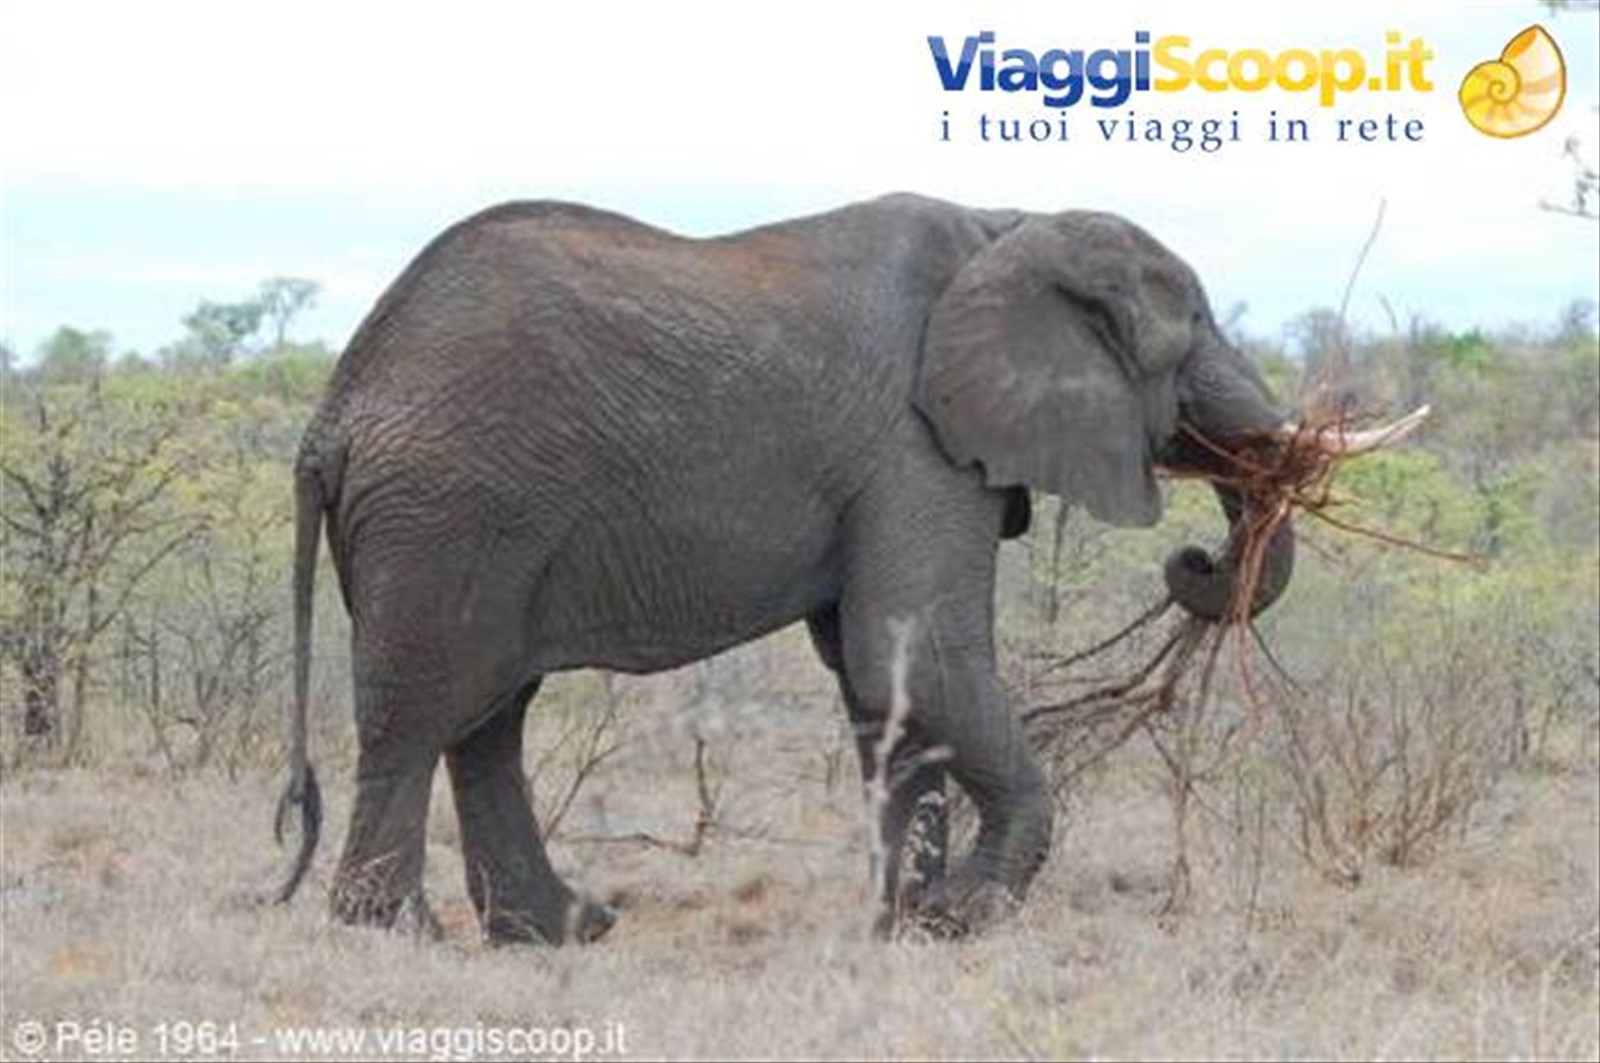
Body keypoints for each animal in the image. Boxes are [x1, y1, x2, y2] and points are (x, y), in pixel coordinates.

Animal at [271, 192, 1373, 945]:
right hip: (448, 511)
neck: (1007, 223)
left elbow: (876, 675)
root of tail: (334, 413)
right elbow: (916, 652)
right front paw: (966, 915)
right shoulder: (915, 442)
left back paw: (563, 931)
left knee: (489, 715)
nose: (1195, 559)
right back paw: (395, 932)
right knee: (426, 707)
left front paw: (906, 925)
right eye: (1196, 327)